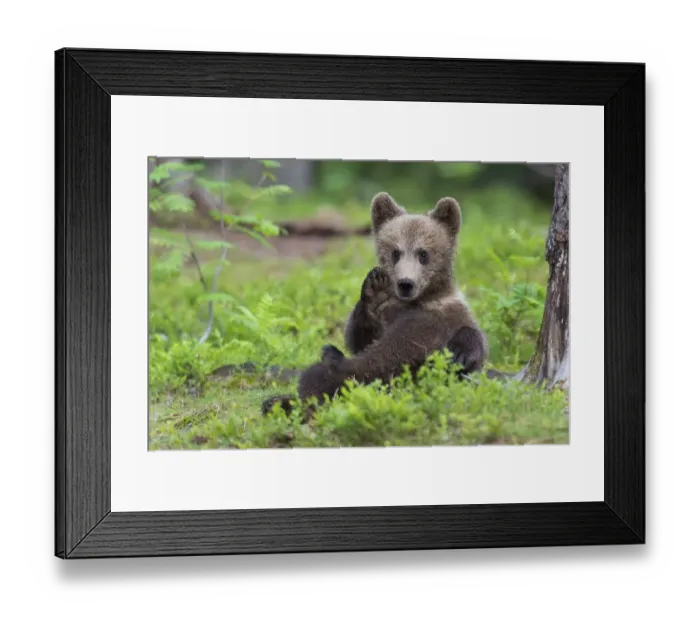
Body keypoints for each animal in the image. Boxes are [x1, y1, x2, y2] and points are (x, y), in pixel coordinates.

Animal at [261, 192, 488, 418]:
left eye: (423, 253)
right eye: (396, 252)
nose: (405, 283)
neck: (417, 301)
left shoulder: (445, 316)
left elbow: (468, 344)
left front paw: (461, 354)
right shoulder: (388, 316)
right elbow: (362, 338)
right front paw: (375, 290)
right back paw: (277, 402)